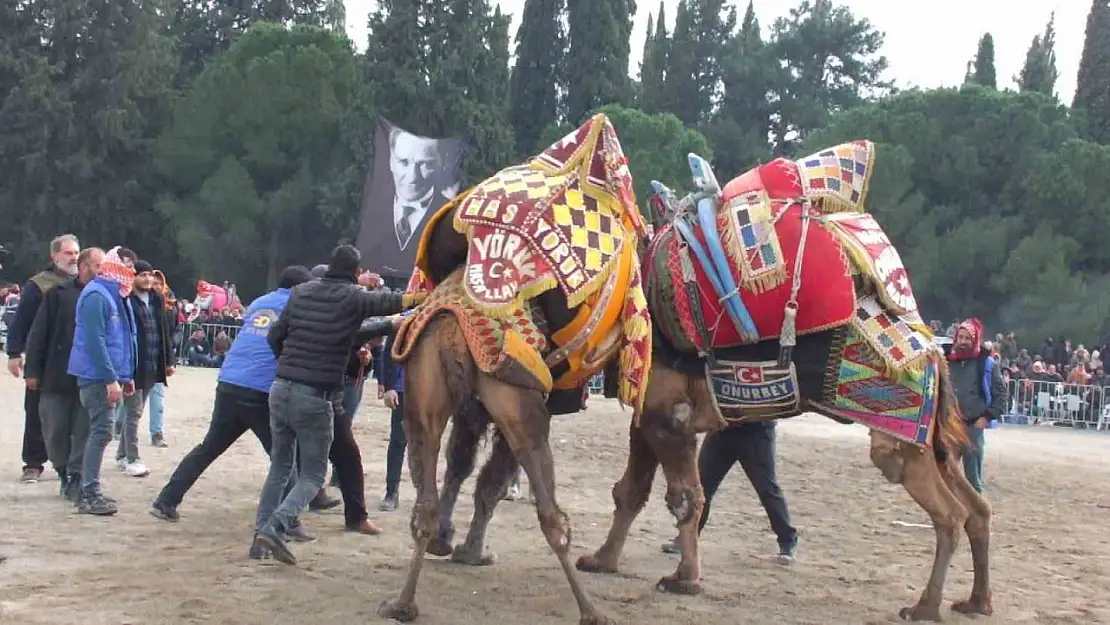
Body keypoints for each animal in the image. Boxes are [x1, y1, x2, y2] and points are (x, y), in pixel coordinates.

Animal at [577, 328, 994, 621]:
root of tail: (937, 354)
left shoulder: (669, 415)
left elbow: (685, 498)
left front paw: (685, 579)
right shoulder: (648, 415)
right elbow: (631, 491)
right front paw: (600, 560)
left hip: (902, 435)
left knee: (950, 513)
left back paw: (925, 607)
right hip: (934, 443)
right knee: (977, 508)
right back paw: (976, 602)